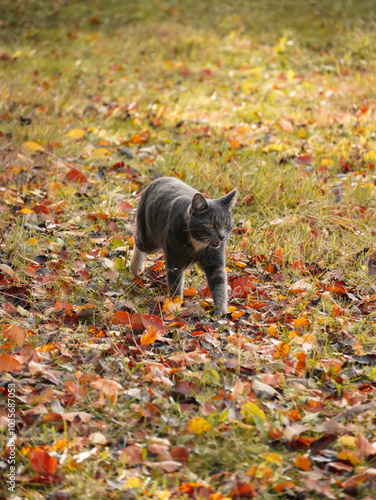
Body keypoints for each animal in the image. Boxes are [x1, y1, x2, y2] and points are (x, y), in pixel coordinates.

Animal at [129, 178, 235, 314]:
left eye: (227, 224)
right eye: (210, 224)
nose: (222, 237)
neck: (198, 243)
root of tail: (159, 179)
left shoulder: (215, 262)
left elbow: (219, 285)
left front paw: (221, 312)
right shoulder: (174, 263)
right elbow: (175, 284)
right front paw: (175, 306)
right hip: (148, 237)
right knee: (137, 240)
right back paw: (135, 268)